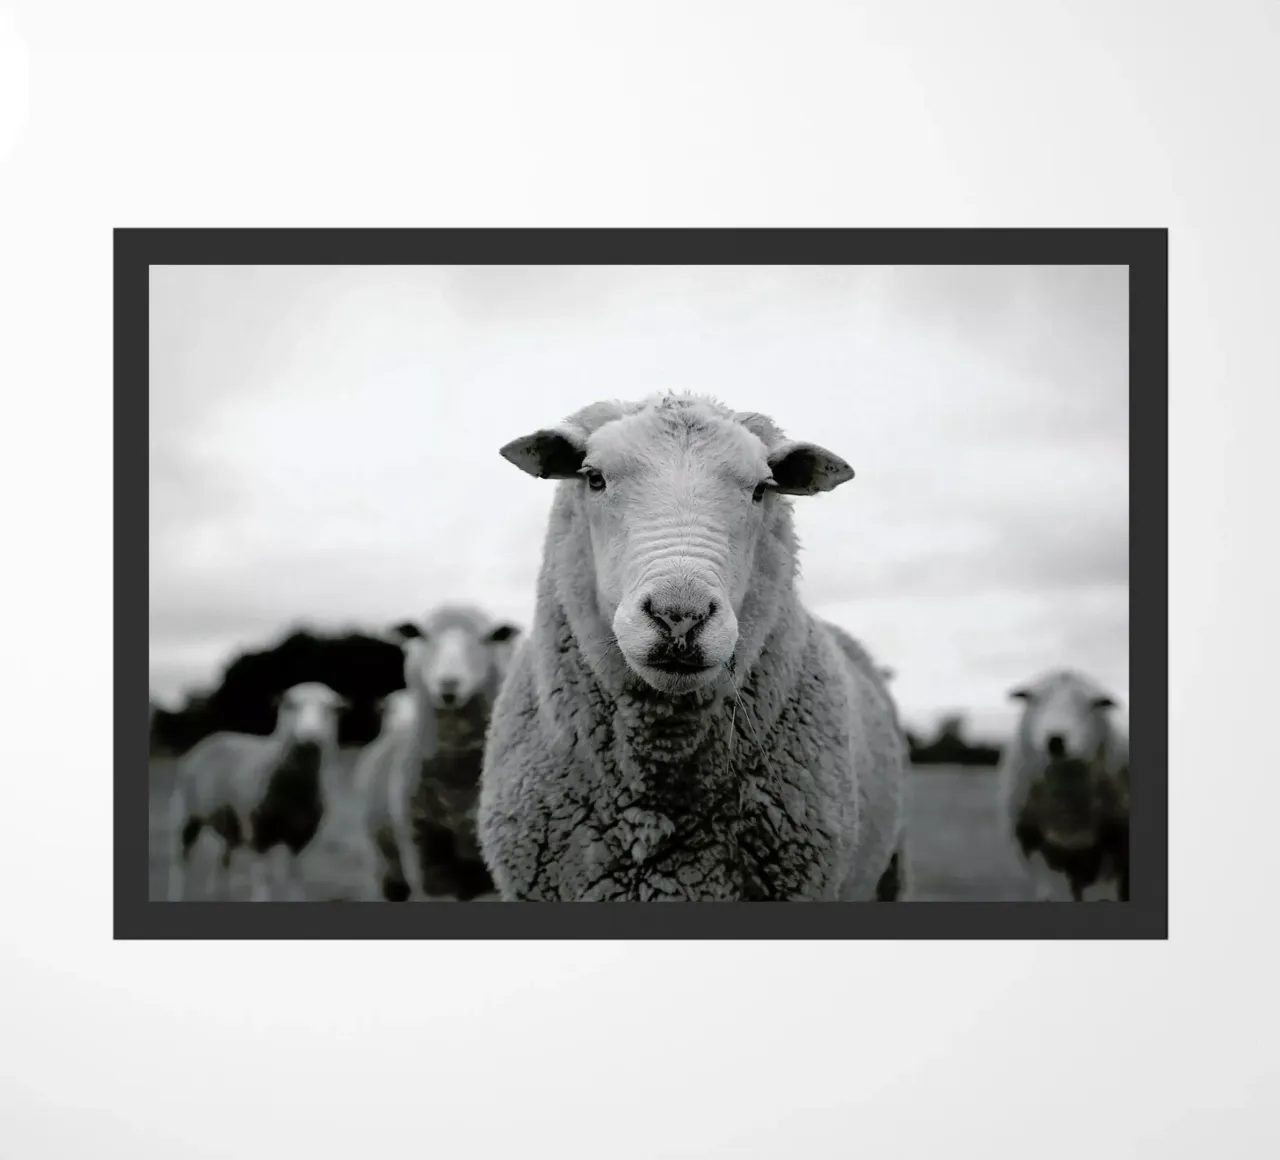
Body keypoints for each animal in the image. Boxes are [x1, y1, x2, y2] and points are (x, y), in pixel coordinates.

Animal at [165, 682, 348, 902]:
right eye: (290, 705)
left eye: (333, 709)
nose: (309, 737)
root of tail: (210, 739)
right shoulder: (257, 834)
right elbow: (263, 879)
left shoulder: (299, 839)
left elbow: (295, 879)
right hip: (185, 814)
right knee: (179, 862)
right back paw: (176, 893)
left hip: (232, 825)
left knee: (223, 860)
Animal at [996, 669, 1130, 901]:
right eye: (1031, 698)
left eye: (1096, 704)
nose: (1056, 740)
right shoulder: (1034, 845)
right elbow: (1049, 893)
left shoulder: (1114, 849)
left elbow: (1106, 893)